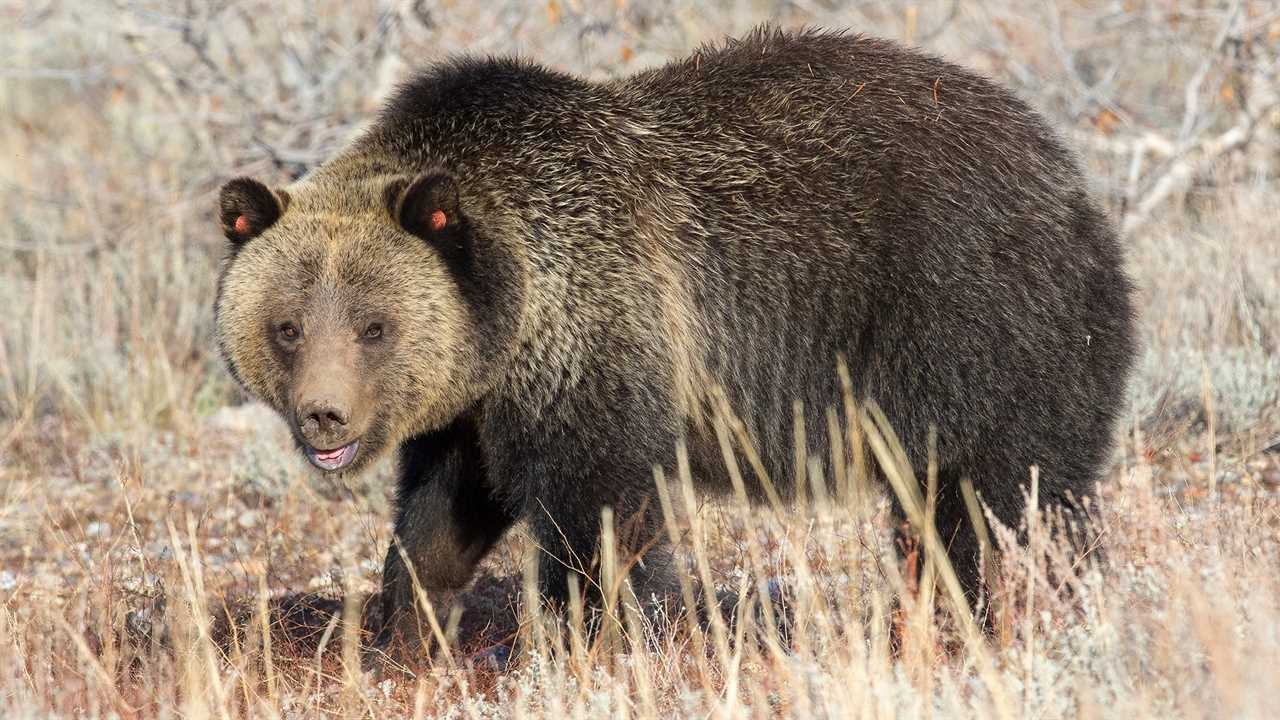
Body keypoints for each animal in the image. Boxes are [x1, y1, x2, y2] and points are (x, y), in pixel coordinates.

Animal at [215, 26, 1136, 645]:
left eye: (374, 325)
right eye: (288, 326)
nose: (324, 416)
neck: (516, 310)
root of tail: (1069, 175)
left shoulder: (602, 344)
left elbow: (605, 517)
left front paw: (611, 638)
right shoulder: (478, 404)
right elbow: (442, 515)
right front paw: (409, 632)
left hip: (977, 323)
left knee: (1006, 496)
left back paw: (1014, 610)